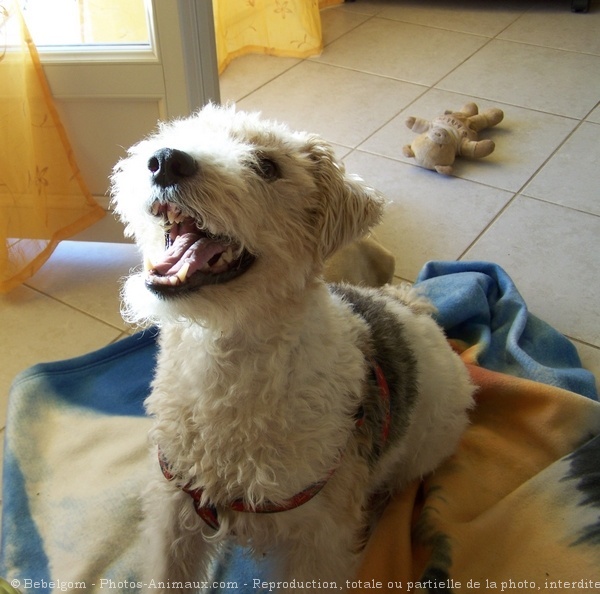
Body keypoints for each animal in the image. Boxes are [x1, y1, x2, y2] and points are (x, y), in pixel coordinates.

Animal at [111, 104, 474, 588]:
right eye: (182, 132)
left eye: (268, 167)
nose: (165, 160)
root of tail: (409, 307)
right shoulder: (175, 508)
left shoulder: (320, 541)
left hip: (425, 446)